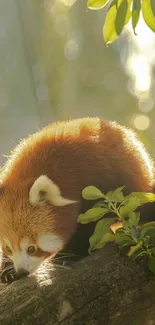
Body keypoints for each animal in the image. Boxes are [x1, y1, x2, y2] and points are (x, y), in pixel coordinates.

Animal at [0, 117, 154, 280]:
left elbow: (91, 225)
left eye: (31, 249)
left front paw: (70, 254)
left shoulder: (96, 182)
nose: (22, 271)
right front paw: (8, 271)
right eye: (8, 248)